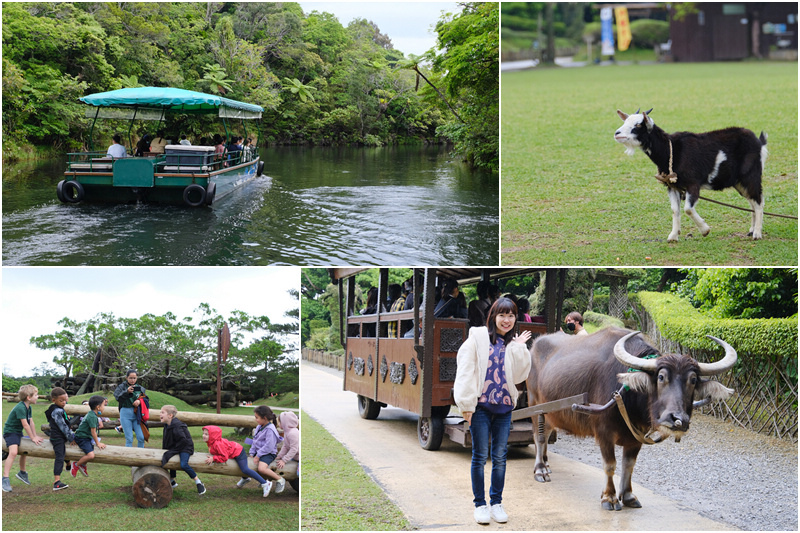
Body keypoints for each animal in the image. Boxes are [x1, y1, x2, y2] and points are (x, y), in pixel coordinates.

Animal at [524, 326, 736, 510]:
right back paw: (540, 469)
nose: (678, 419)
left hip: (552, 413)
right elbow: (610, 465)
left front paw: (627, 496)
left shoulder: (636, 436)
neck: (629, 394)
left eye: (692, 380)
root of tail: (535, 346)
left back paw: (546, 463)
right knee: (539, 437)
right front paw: (609, 497)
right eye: (661, 377)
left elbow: (629, 465)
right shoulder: (604, 433)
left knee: (548, 433)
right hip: (535, 406)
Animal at [616, 108, 764, 241]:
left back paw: (757, 234)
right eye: (626, 121)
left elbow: (688, 209)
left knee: (758, 201)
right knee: (752, 201)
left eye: (638, 125)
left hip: (751, 175)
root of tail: (759, 142)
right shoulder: (672, 186)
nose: (617, 133)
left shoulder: (693, 183)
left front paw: (705, 230)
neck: (671, 151)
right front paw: (673, 236)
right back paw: (751, 230)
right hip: (739, 182)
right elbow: (675, 210)